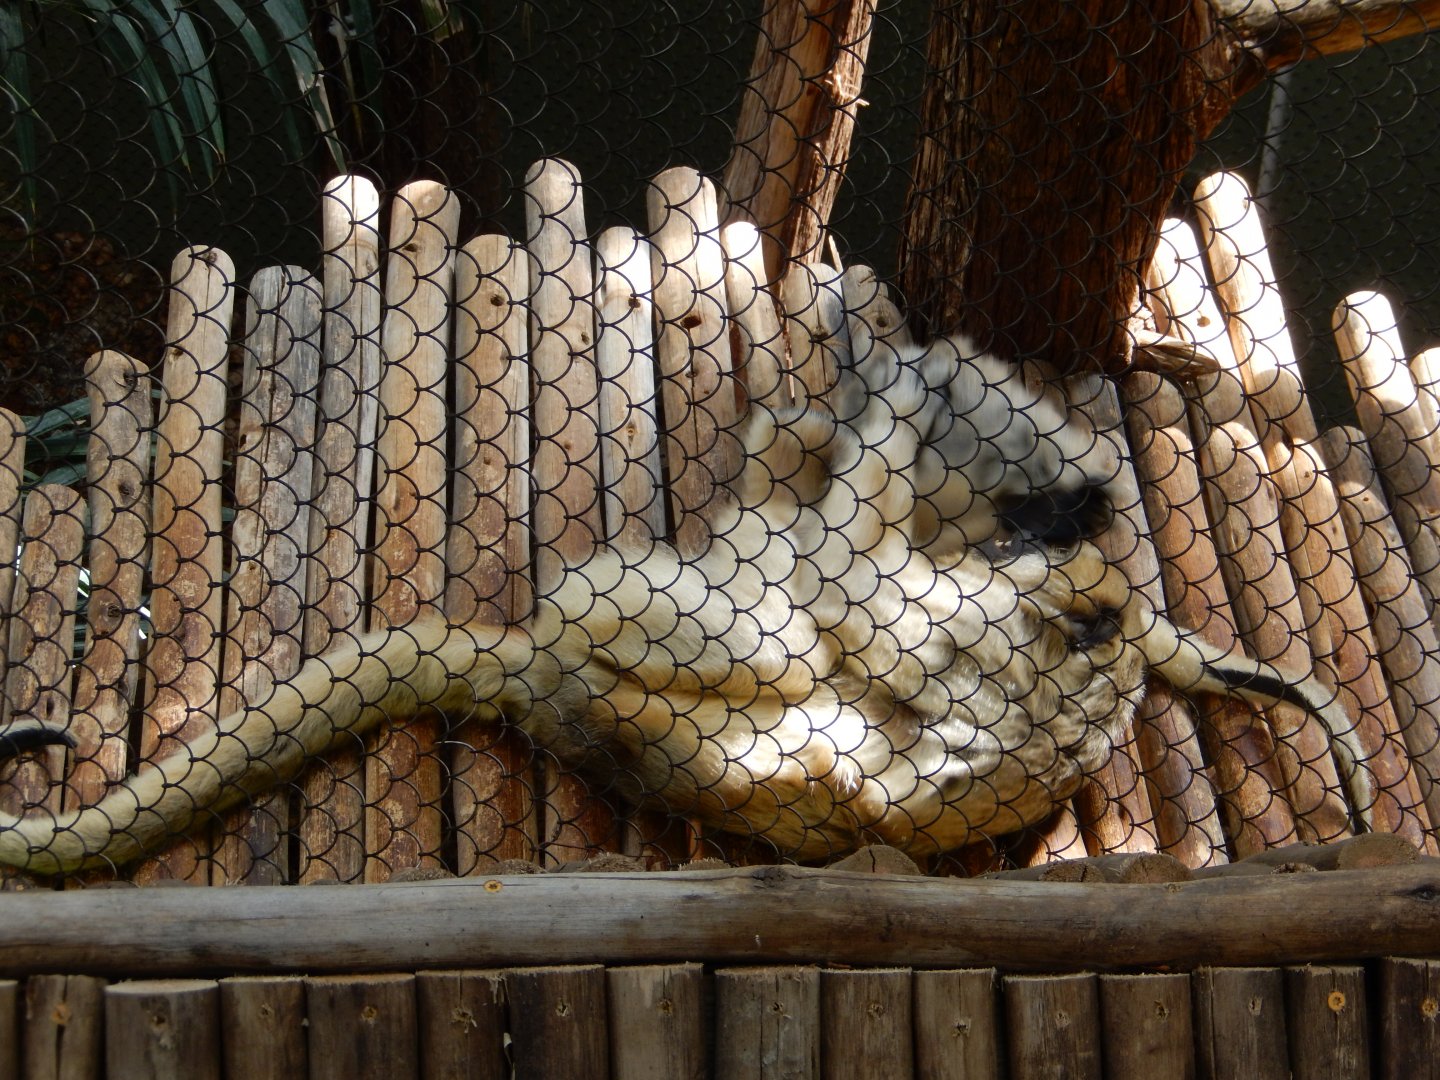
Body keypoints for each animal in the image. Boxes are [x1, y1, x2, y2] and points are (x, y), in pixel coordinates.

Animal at [0, 326, 1372, 875]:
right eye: (1029, 516)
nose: (1051, 517)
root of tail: (547, 681)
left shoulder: (1014, 628)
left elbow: (866, 613)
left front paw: (906, 404)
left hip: (641, 610)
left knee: (770, 637)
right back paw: (815, 427)